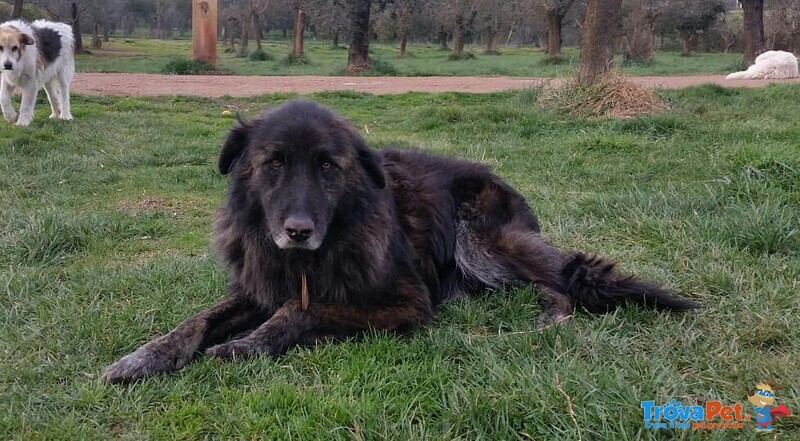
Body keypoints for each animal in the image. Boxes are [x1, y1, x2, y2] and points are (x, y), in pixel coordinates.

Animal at [103, 99, 696, 382]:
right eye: (274, 163)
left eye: (328, 167)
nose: (298, 231)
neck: (314, 256)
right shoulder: (258, 285)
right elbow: (196, 320)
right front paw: (145, 356)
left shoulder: (406, 304)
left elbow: (303, 311)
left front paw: (246, 345)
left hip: (479, 241)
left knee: (560, 278)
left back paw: (551, 318)